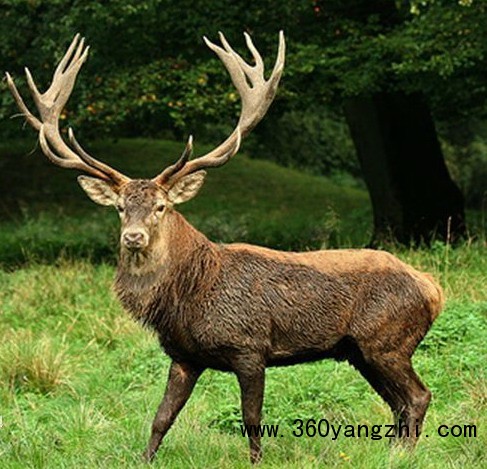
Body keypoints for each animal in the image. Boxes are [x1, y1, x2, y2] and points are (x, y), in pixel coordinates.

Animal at [6, 33, 446, 464]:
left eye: (161, 206)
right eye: (119, 207)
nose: (133, 237)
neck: (189, 297)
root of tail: (434, 289)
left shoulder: (249, 346)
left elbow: (251, 419)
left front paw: (256, 460)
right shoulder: (184, 357)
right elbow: (161, 418)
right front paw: (143, 458)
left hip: (386, 339)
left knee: (417, 396)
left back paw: (402, 455)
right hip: (361, 351)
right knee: (399, 403)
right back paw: (393, 452)